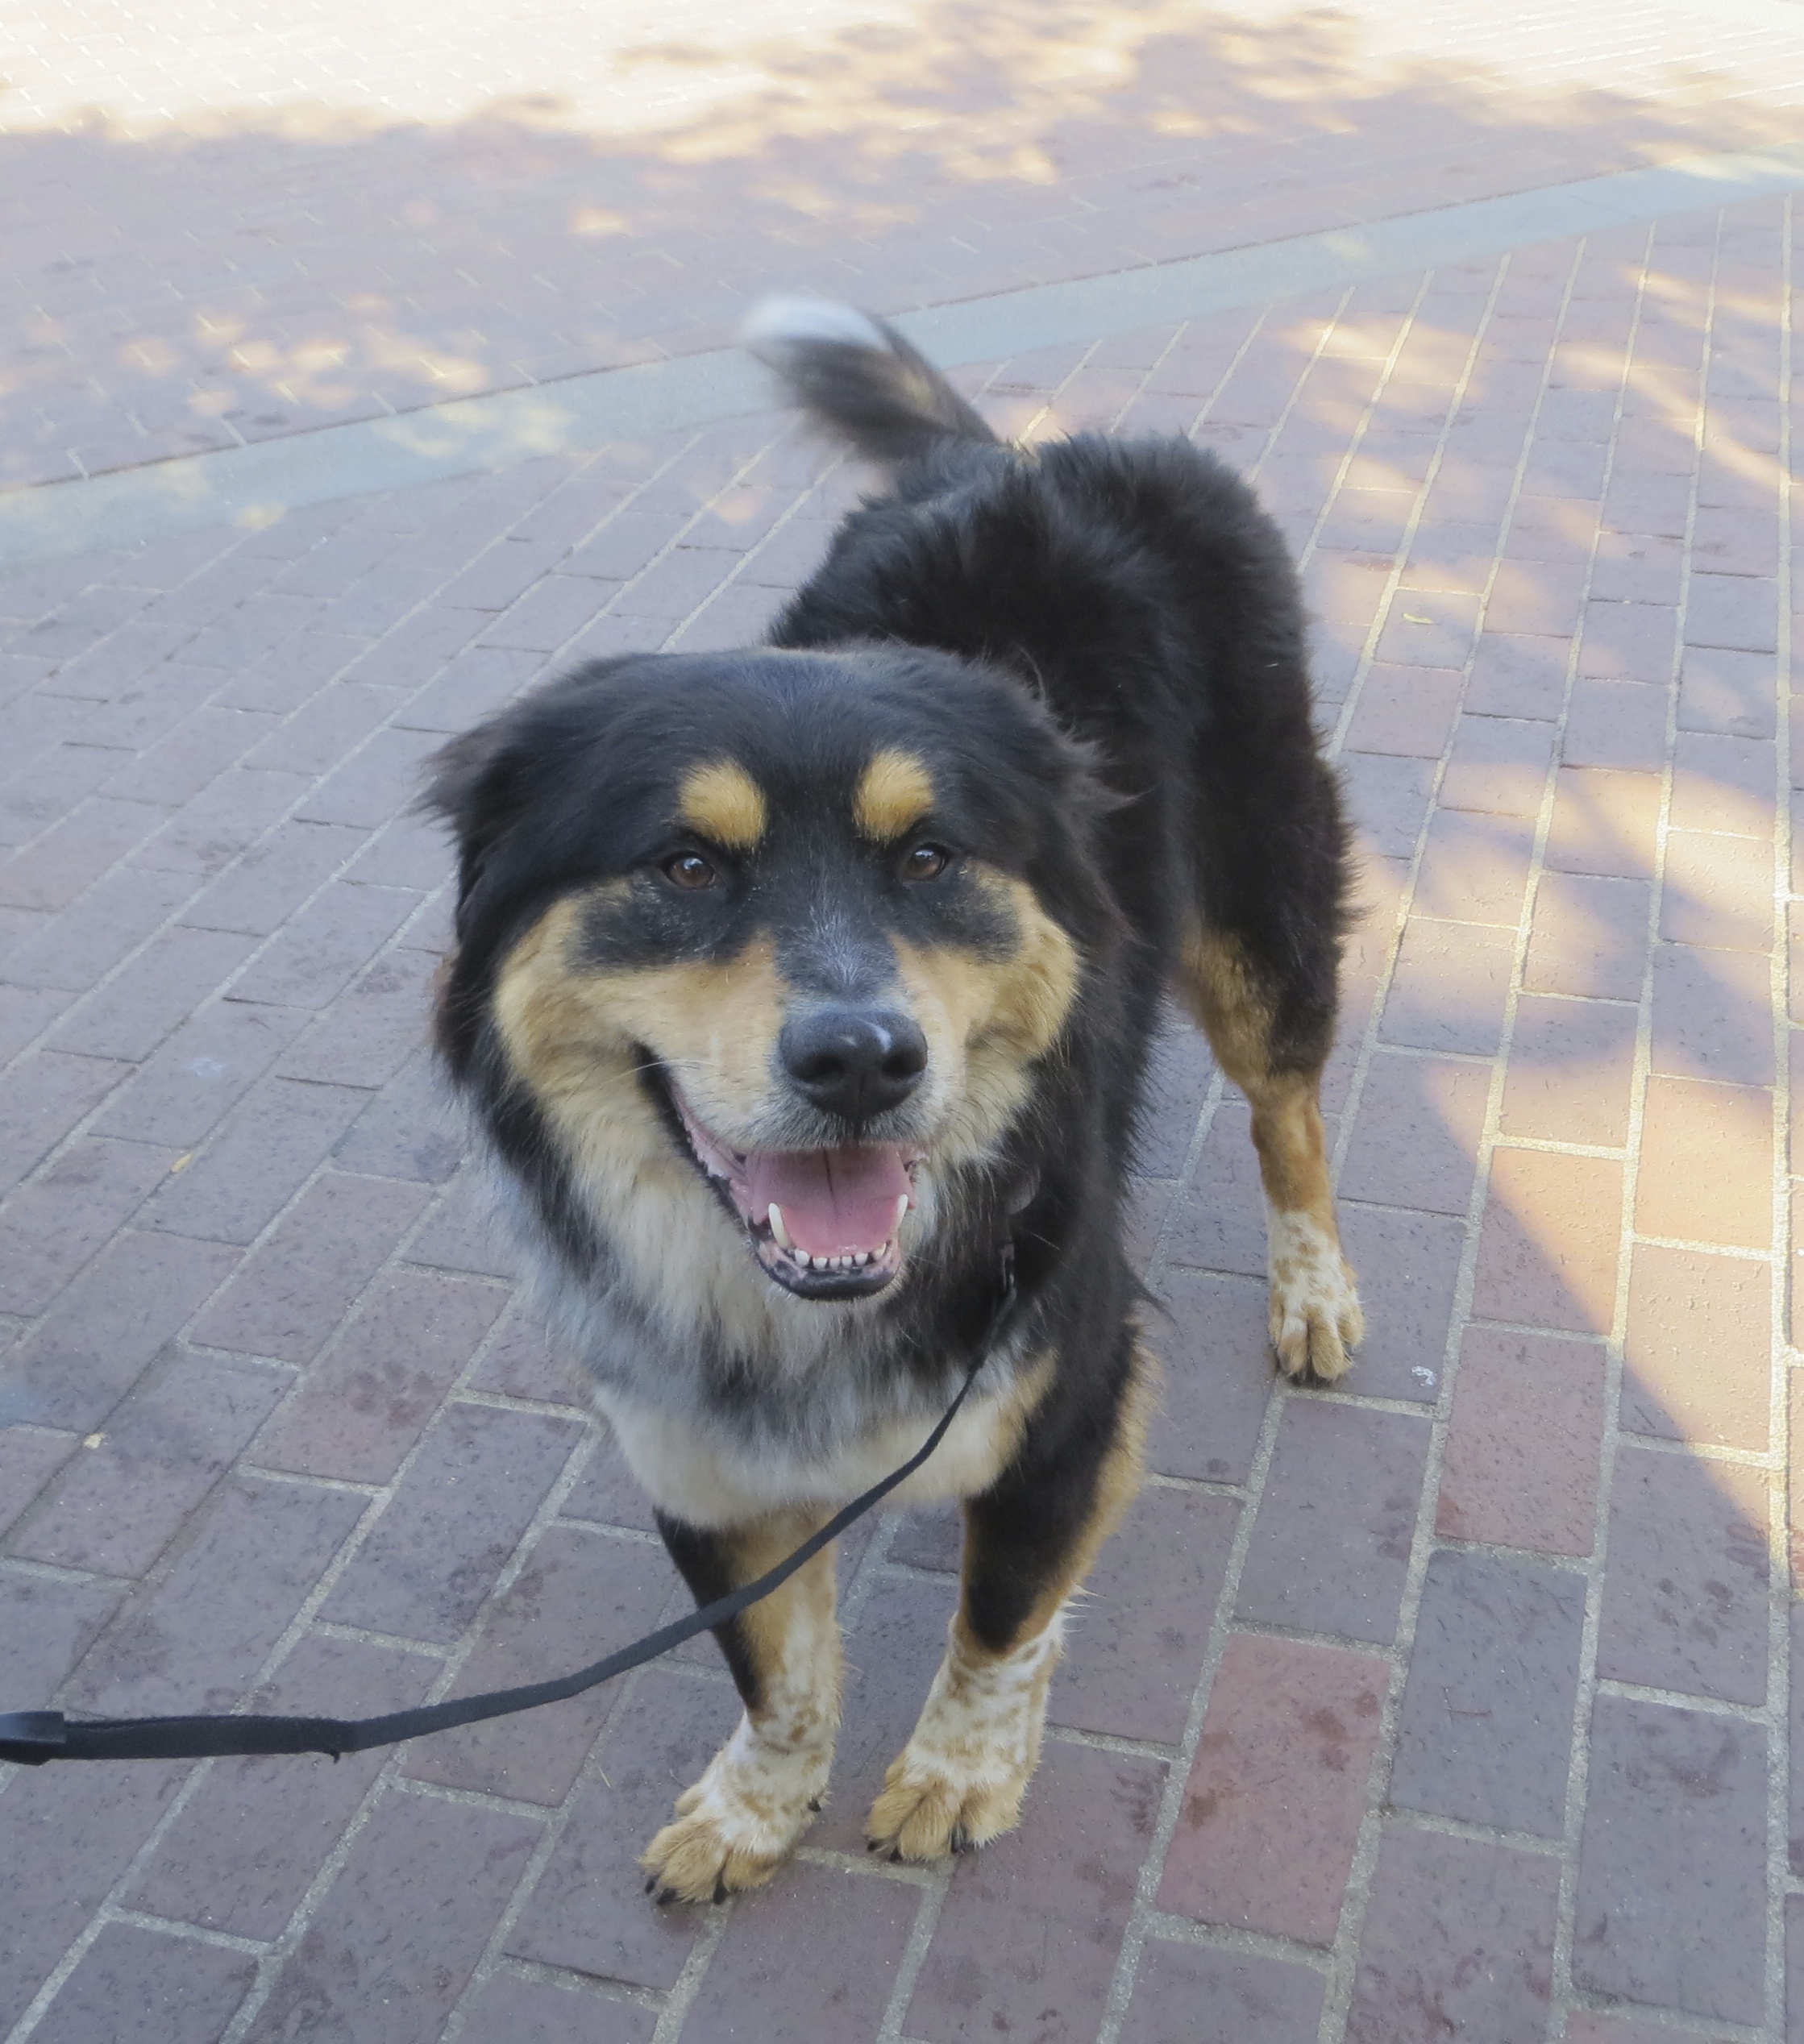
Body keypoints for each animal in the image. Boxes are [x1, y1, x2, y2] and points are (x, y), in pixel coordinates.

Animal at [419, 296, 1349, 1905]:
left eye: (928, 857)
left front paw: (961, 1770)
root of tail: (1030, 456)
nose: (862, 1061)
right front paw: (755, 1808)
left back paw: (1313, 1290)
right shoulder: (696, 1459)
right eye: (684, 867)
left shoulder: (1067, 1392)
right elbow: (775, 1675)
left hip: (1257, 915)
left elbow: (999, 1619)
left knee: (1284, 1107)